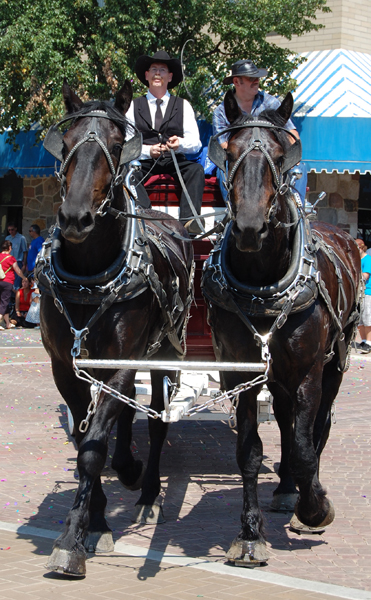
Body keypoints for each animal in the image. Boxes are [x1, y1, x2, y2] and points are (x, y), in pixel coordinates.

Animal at [37, 82, 195, 576]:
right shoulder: (65, 367)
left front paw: (73, 538)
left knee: (156, 418)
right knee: (124, 416)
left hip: (166, 353)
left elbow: (93, 447)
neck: (90, 274)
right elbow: (87, 440)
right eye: (67, 143)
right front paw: (98, 521)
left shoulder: (125, 360)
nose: (74, 218)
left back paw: (146, 488)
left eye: (115, 144)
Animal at [202, 91, 362, 564]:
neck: (262, 281)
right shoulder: (240, 373)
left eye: (278, 154)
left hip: (333, 364)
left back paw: (302, 495)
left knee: (316, 428)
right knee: (290, 423)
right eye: (229, 152)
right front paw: (249, 533)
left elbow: (308, 446)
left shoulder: (309, 371)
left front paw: (315, 508)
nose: (250, 227)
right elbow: (250, 451)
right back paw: (287, 488)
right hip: (279, 374)